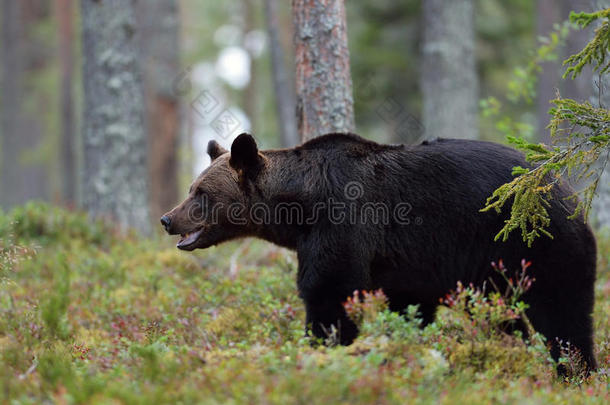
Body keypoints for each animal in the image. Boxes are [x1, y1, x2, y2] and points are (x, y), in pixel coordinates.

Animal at [162, 133, 592, 372]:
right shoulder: (410, 268)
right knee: (506, 317)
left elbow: (328, 295)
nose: (168, 218)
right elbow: (409, 305)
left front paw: (322, 350)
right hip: (492, 270)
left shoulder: (343, 226)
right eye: (191, 188)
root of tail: (566, 188)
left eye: (202, 193)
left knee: (565, 316)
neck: (300, 209)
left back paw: (575, 370)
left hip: (539, 243)